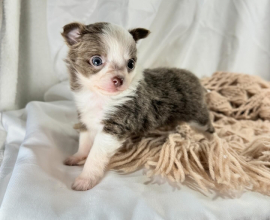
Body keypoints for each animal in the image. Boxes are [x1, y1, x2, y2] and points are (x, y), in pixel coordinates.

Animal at [61, 21, 215, 191]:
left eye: (131, 64)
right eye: (96, 61)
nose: (119, 80)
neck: (99, 96)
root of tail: (196, 79)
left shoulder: (113, 129)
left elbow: (95, 155)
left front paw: (86, 178)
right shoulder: (86, 120)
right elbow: (84, 142)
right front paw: (78, 156)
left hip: (196, 115)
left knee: (207, 121)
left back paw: (211, 139)